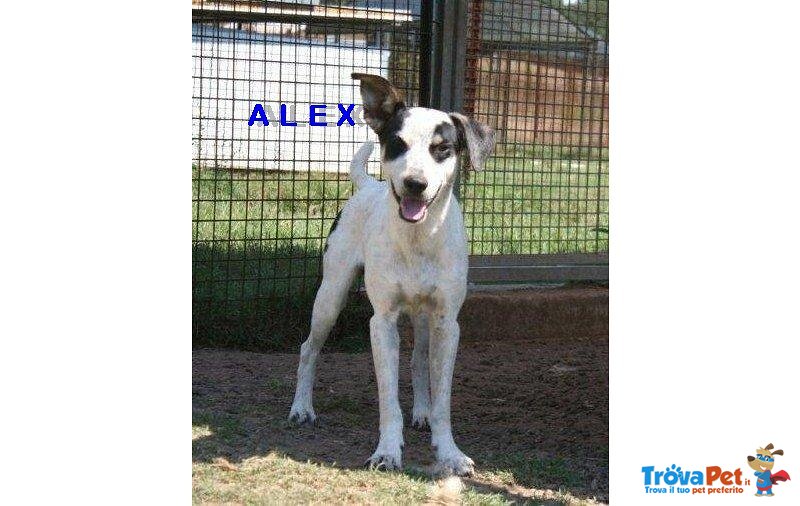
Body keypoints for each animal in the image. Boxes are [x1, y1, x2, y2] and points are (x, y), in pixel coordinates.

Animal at [290, 73, 494, 476]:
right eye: (397, 144)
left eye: (442, 149)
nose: (415, 183)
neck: (417, 238)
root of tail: (368, 185)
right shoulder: (381, 321)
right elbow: (388, 396)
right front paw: (386, 451)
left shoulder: (447, 322)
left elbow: (442, 398)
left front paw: (449, 452)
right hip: (330, 296)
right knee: (309, 348)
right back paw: (302, 407)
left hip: (424, 317)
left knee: (419, 360)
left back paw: (422, 413)